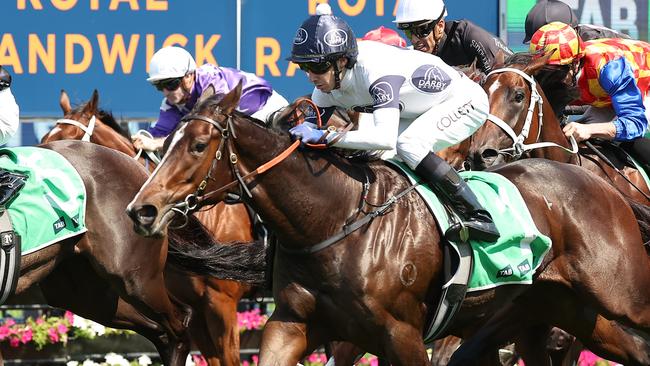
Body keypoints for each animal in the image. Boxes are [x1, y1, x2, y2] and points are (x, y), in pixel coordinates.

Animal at [125, 83, 648, 366]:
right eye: (166, 141)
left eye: (197, 146)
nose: (142, 210)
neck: (333, 221)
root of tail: (595, 181)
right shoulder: (293, 325)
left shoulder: (403, 335)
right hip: (561, 313)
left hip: (620, 297)